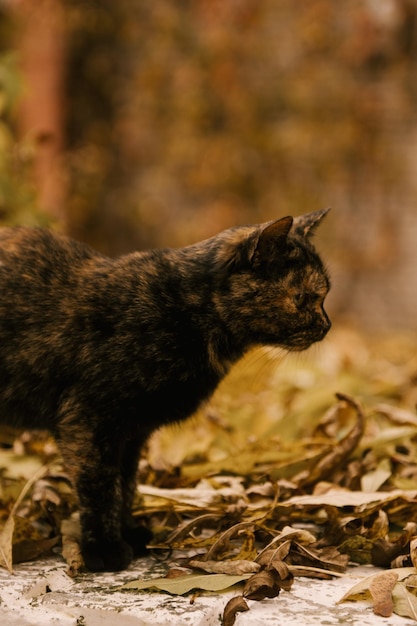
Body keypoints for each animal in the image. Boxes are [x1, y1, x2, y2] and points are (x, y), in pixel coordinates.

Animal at [0, 210, 332, 572]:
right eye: (302, 298)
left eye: (324, 295)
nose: (326, 326)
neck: (185, 309)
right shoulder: (88, 422)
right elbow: (100, 487)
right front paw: (104, 548)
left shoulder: (131, 432)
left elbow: (126, 483)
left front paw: (129, 532)